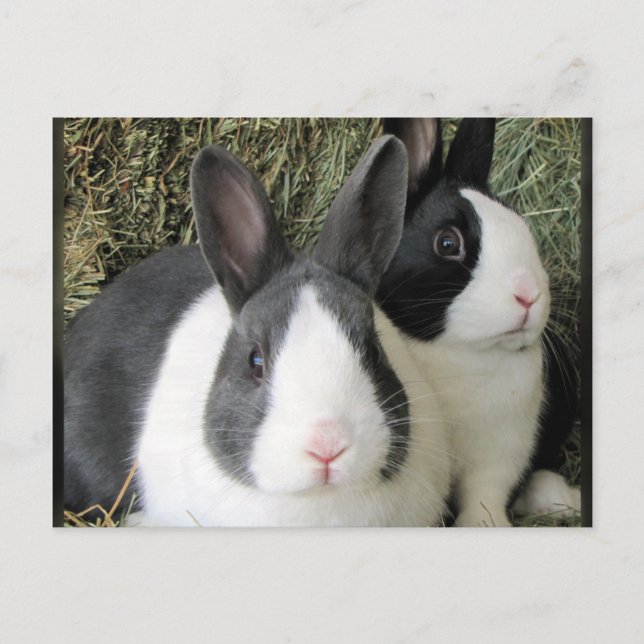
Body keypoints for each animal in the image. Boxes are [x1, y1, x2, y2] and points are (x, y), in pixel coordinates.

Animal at [376, 118, 580, 527]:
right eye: (448, 243)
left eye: (522, 226)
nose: (529, 294)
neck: (457, 354)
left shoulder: (501, 452)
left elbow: (485, 495)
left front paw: (484, 525)